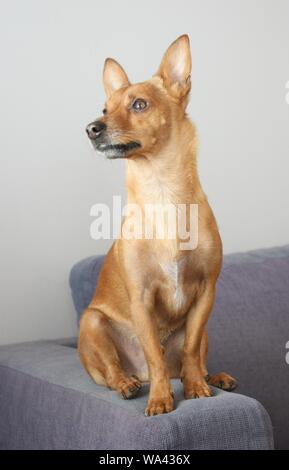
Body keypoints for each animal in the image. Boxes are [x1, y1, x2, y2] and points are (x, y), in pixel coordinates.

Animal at [79, 35, 236, 414]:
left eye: (139, 104)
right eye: (104, 109)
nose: (91, 128)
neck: (162, 189)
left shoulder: (206, 293)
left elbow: (191, 348)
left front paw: (195, 389)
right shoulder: (141, 299)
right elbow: (153, 354)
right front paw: (162, 399)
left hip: (205, 331)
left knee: (191, 359)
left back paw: (213, 377)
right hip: (91, 322)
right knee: (119, 369)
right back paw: (129, 384)